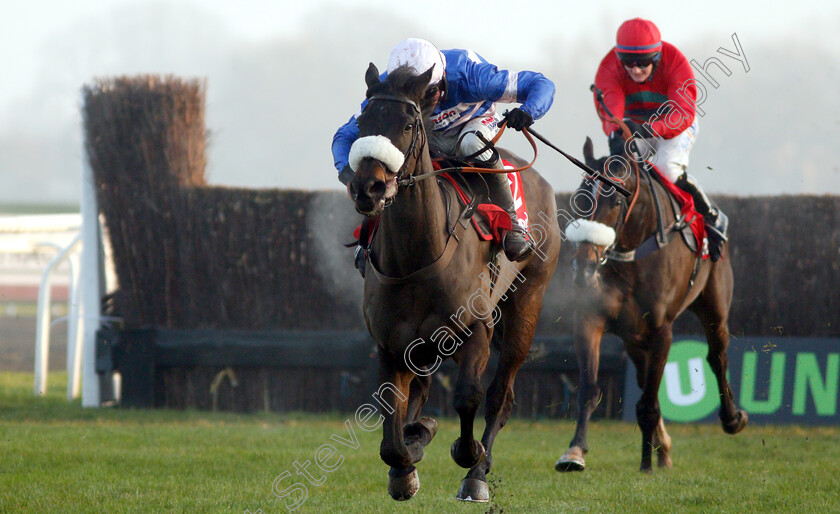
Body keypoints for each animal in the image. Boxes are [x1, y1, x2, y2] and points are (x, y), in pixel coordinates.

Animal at [556, 136, 748, 472]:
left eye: (614, 201)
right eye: (580, 199)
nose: (584, 267)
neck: (632, 253)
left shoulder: (661, 330)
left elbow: (647, 401)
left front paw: (645, 464)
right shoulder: (591, 319)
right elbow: (590, 388)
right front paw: (575, 451)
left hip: (713, 305)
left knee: (717, 356)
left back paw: (731, 419)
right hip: (634, 336)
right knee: (645, 377)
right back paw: (662, 448)